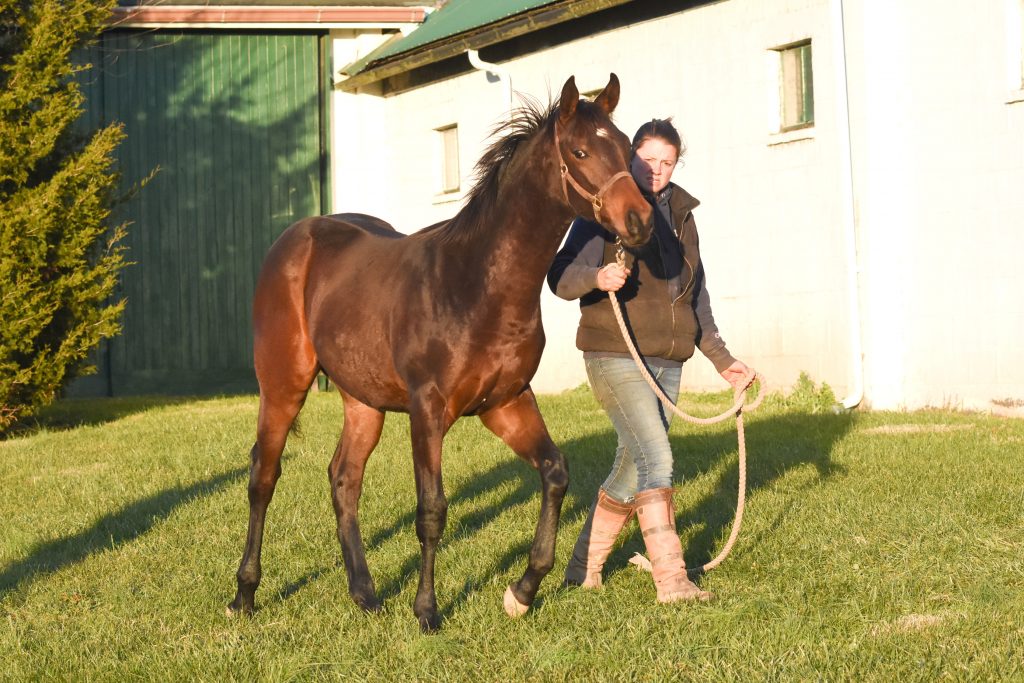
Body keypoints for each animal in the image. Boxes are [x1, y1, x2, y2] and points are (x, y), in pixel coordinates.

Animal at [227, 73, 651, 630]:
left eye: (625, 147)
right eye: (580, 151)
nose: (641, 221)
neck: (475, 284)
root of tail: (297, 238)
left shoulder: (506, 403)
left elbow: (555, 473)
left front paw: (524, 589)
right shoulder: (427, 410)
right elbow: (431, 509)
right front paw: (427, 610)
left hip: (363, 401)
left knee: (344, 478)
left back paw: (365, 592)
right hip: (283, 386)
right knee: (264, 476)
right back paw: (245, 594)